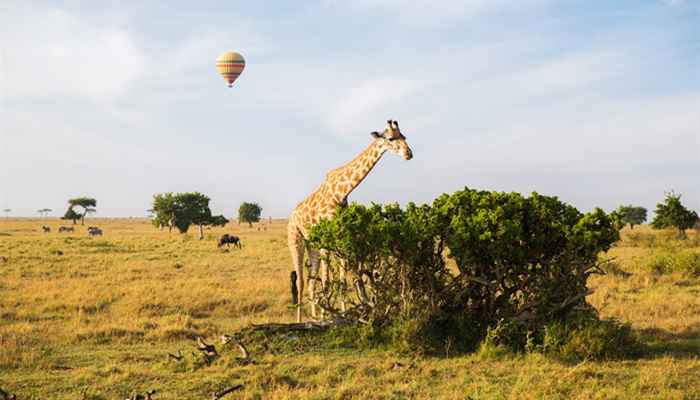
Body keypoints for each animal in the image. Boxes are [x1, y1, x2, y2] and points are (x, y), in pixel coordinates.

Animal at [288, 119, 412, 322]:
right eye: (391, 138)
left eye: (404, 137)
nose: (409, 154)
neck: (342, 193)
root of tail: (291, 217)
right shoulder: (327, 240)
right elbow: (327, 282)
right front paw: (327, 317)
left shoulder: (342, 239)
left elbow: (342, 280)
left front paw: (342, 315)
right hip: (295, 241)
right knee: (300, 281)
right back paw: (300, 321)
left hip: (312, 245)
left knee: (311, 282)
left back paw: (313, 318)